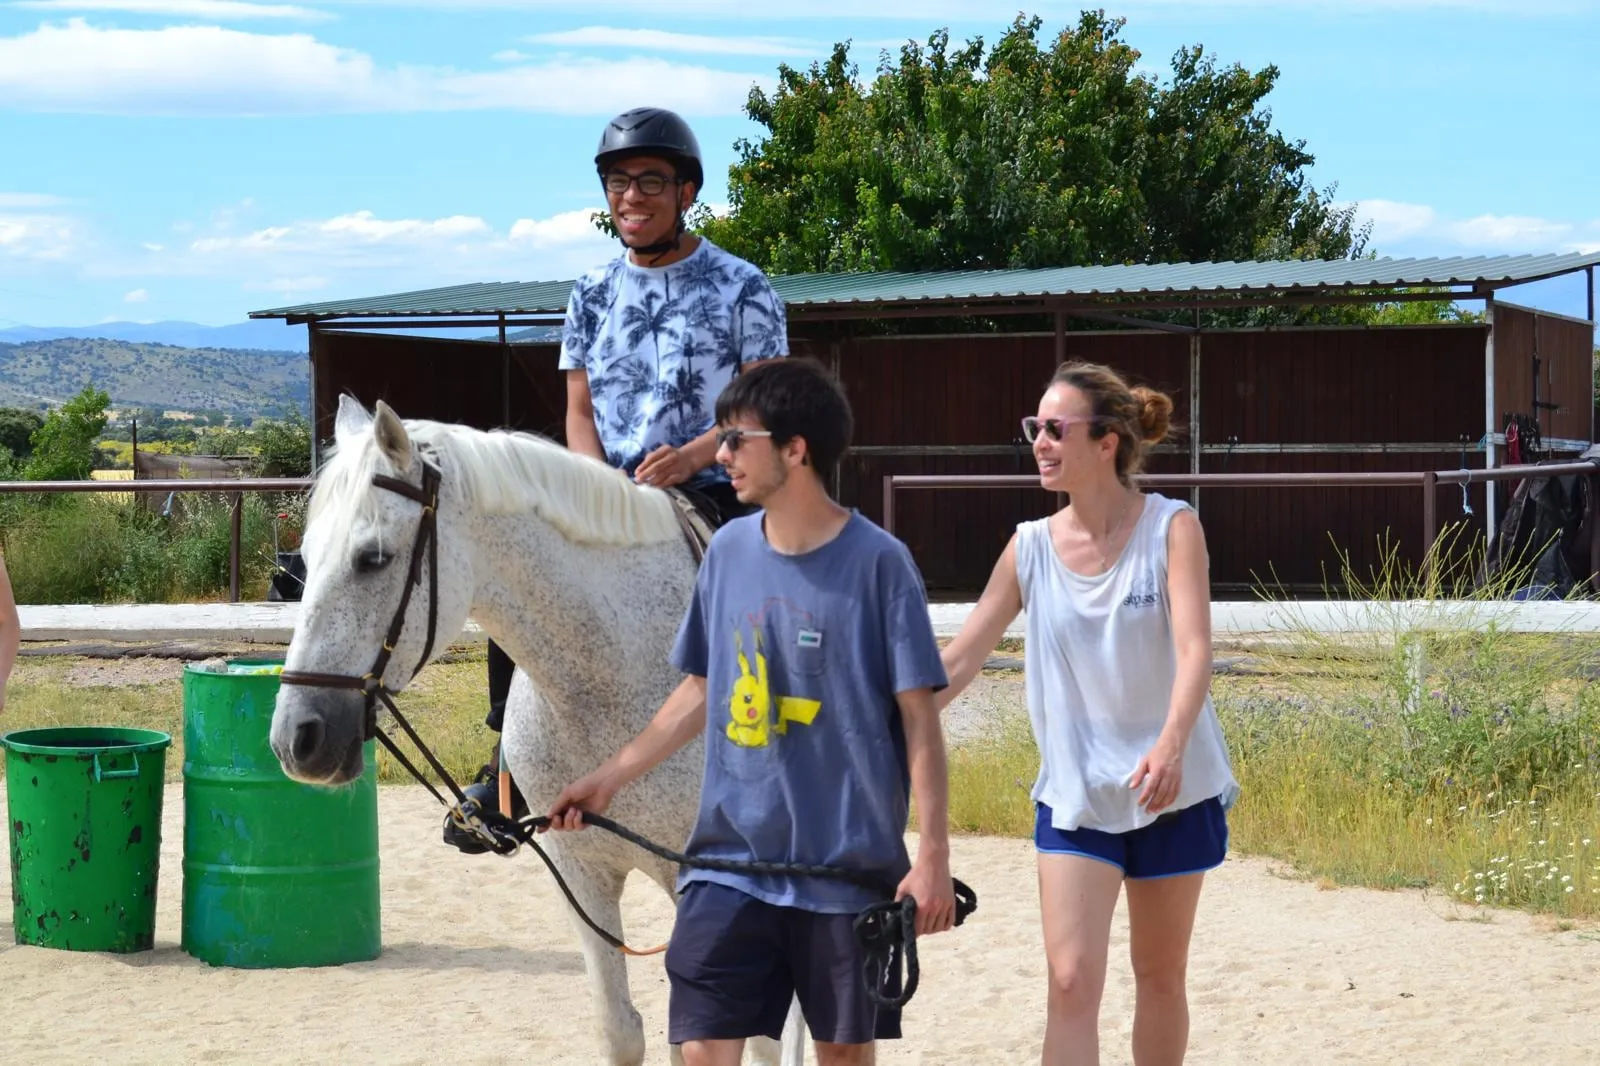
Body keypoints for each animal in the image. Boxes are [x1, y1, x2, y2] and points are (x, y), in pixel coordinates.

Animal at [268, 394, 806, 1066]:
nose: (297, 739)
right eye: (305, 560)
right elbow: (623, 1030)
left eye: (373, 559)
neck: (613, 676)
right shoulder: (581, 872)